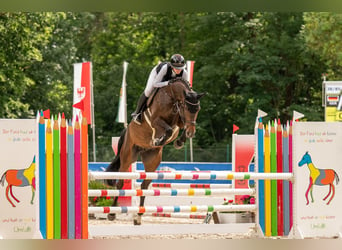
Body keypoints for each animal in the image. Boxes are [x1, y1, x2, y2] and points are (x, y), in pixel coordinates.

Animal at [105, 78, 204, 225]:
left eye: (198, 109)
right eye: (187, 108)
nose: (192, 133)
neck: (172, 97)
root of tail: (127, 130)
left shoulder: (179, 120)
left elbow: (178, 128)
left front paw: (179, 142)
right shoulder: (156, 120)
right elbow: (168, 129)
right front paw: (159, 140)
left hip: (152, 160)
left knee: (144, 186)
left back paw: (138, 217)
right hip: (128, 156)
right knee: (121, 183)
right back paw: (112, 213)